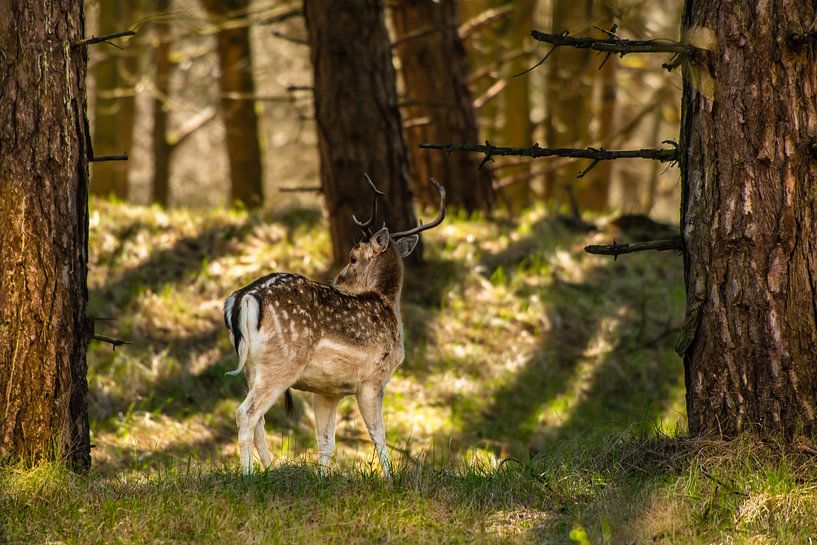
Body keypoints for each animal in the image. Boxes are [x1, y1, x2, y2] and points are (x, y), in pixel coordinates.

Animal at [223, 175, 445, 477]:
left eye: (352, 258)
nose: (337, 280)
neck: (388, 305)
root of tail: (241, 299)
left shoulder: (329, 391)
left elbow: (326, 440)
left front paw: (321, 478)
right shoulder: (373, 379)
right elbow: (378, 434)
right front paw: (390, 478)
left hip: (252, 368)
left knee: (259, 421)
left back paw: (269, 471)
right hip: (281, 364)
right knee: (246, 414)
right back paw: (248, 476)